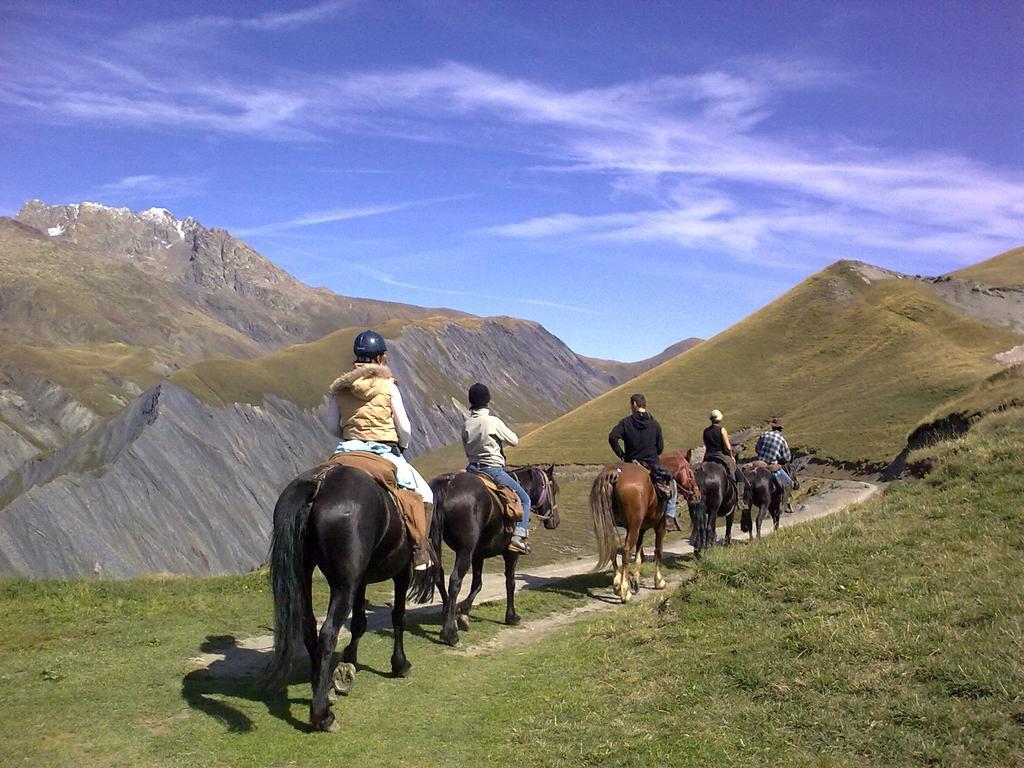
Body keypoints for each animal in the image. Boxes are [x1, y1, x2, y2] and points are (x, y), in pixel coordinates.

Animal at [407, 466, 561, 647]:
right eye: (554, 489)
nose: (555, 521)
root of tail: (449, 482)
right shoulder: (511, 554)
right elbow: (510, 583)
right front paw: (511, 616)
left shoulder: (477, 555)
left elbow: (477, 584)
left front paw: (463, 613)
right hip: (465, 551)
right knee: (455, 581)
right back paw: (450, 634)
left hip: (433, 545)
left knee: (439, 576)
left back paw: (448, 618)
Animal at [589, 454, 700, 606]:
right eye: (691, 472)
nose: (697, 494)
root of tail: (616, 473)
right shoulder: (660, 527)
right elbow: (658, 551)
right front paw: (659, 581)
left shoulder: (641, 529)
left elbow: (640, 553)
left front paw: (635, 579)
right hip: (633, 527)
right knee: (626, 553)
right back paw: (625, 592)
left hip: (613, 526)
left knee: (613, 550)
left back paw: (617, 585)